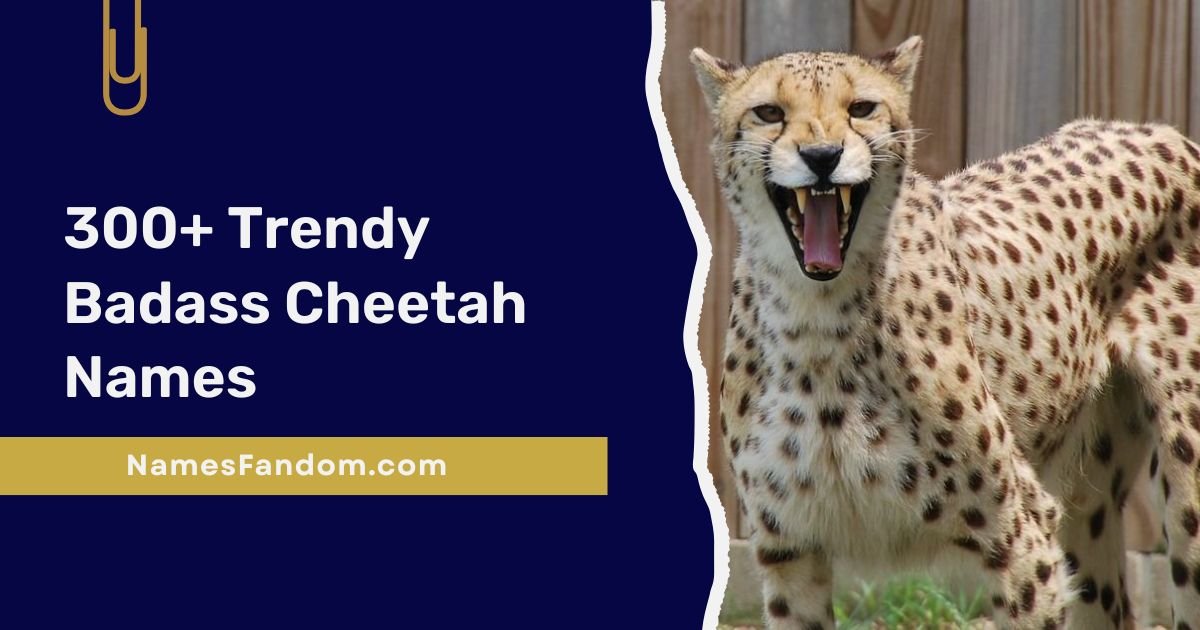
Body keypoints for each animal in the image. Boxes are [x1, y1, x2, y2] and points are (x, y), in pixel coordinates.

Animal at [691, 35, 1200, 629]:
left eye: (861, 108)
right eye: (769, 113)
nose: (822, 157)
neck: (816, 321)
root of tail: (1150, 128)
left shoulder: (1022, 533)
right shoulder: (790, 549)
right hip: (1087, 503)